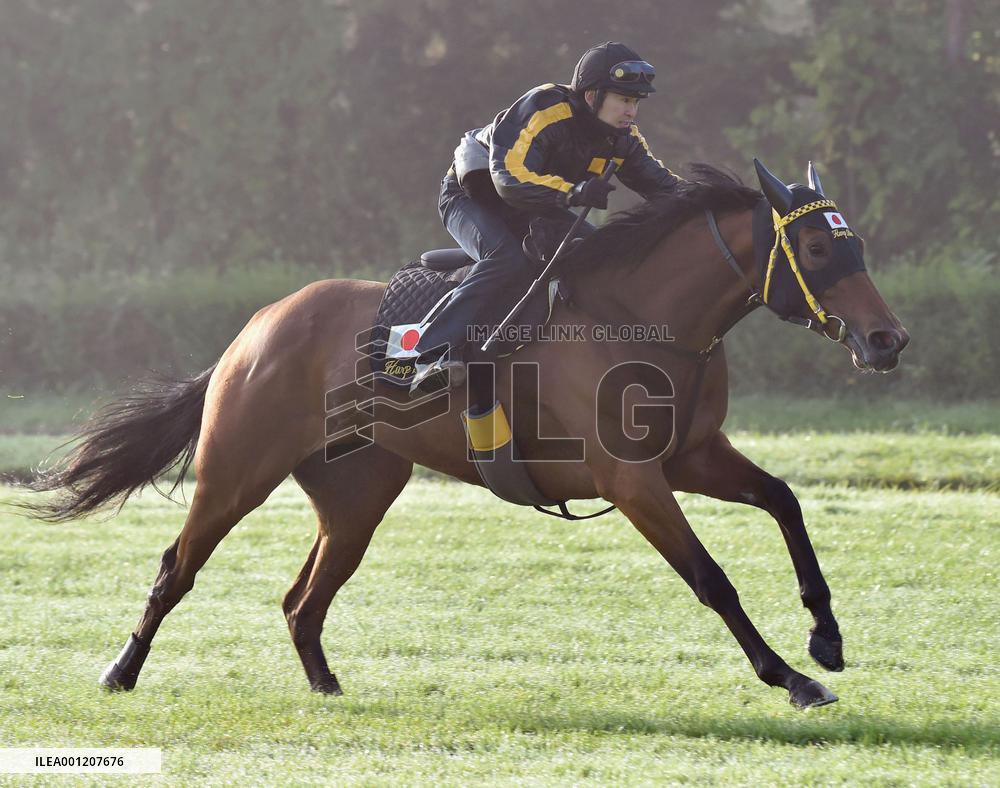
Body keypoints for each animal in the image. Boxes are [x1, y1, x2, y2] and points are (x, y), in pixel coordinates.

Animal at [22, 159, 908, 709]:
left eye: (856, 242)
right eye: (819, 245)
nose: (887, 340)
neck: (641, 315)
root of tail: (255, 328)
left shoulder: (693, 456)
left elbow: (785, 500)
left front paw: (826, 637)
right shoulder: (633, 480)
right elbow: (712, 577)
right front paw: (791, 677)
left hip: (357, 495)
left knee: (304, 599)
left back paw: (326, 688)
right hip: (236, 470)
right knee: (177, 567)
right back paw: (120, 671)